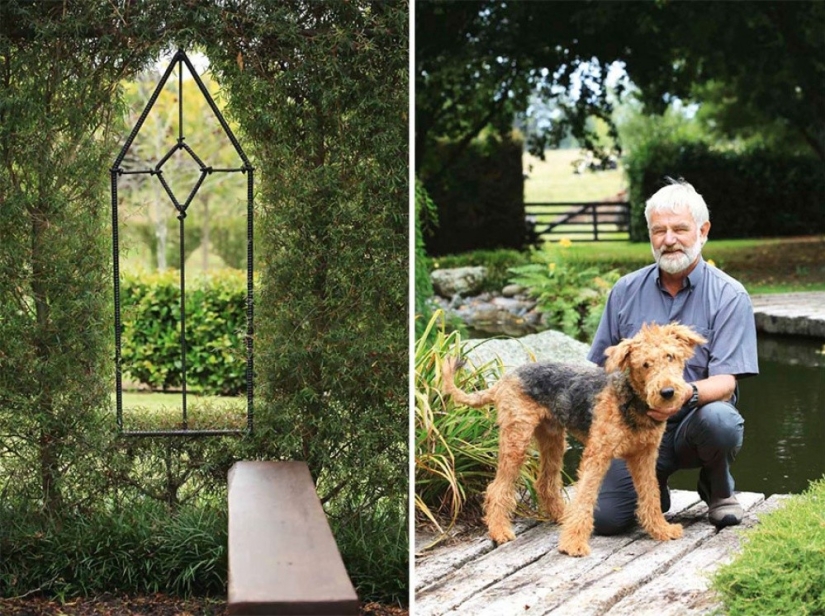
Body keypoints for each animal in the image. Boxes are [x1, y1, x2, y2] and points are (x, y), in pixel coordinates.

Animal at [440, 322, 704, 560]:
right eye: (645, 364)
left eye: (670, 356)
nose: (667, 392)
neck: (632, 400)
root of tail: (505, 378)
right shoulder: (598, 455)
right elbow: (585, 498)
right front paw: (573, 544)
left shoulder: (645, 456)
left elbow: (651, 494)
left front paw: (661, 529)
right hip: (517, 440)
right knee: (497, 489)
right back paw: (500, 531)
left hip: (553, 439)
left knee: (545, 483)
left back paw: (561, 516)